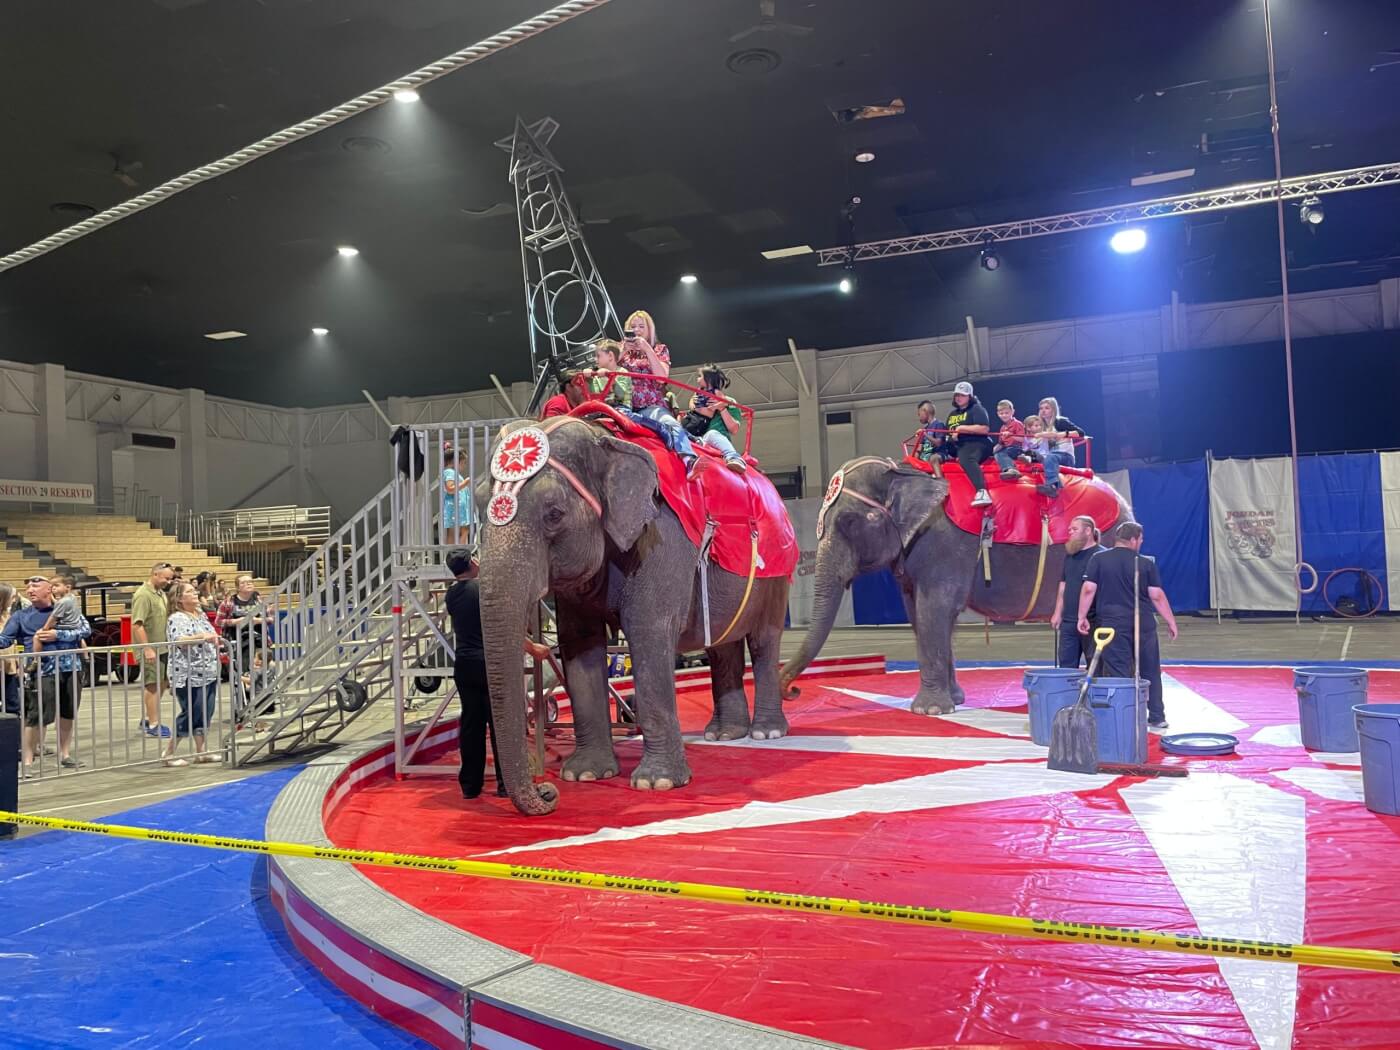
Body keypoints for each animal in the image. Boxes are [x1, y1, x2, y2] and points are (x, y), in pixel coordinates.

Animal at [478, 414, 789, 817]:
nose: (547, 791)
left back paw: (767, 732)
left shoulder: (663, 537)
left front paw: (656, 783)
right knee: (722, 646)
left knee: (764, 640)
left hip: (777, 575)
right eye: (477, 507)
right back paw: (723, 734)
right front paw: (585, 775)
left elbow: (648, 632)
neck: (605, 439)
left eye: (554, 514)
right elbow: (579, 643)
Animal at [784, 459, 1131, 716]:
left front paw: (929, 711)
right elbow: (923, 615)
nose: (792, 691)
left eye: (851, 522)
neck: (904, 473)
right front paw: (954, 701)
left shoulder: (944, 544)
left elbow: (933, 610)